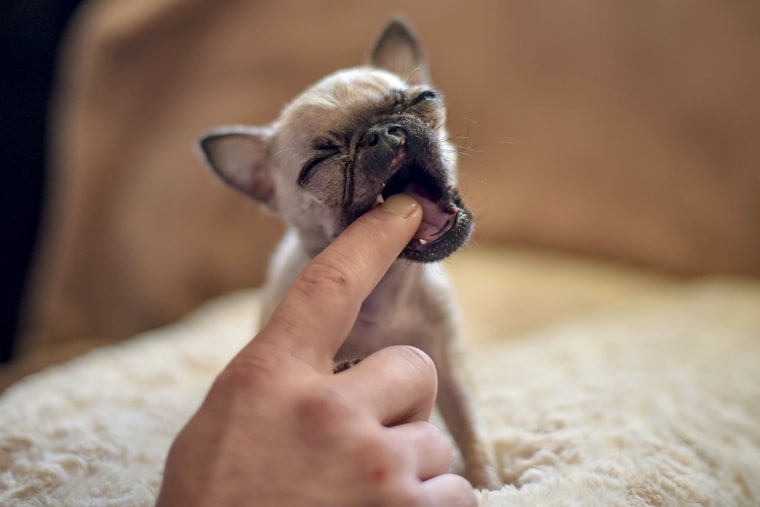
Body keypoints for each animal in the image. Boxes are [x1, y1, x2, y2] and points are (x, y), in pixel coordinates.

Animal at [199, 19, 502, 492]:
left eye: (423, 98)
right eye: (316, 166)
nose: (384, 132)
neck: (389, 284)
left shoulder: (451, 366)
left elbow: (470, 429)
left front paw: (489, 485)